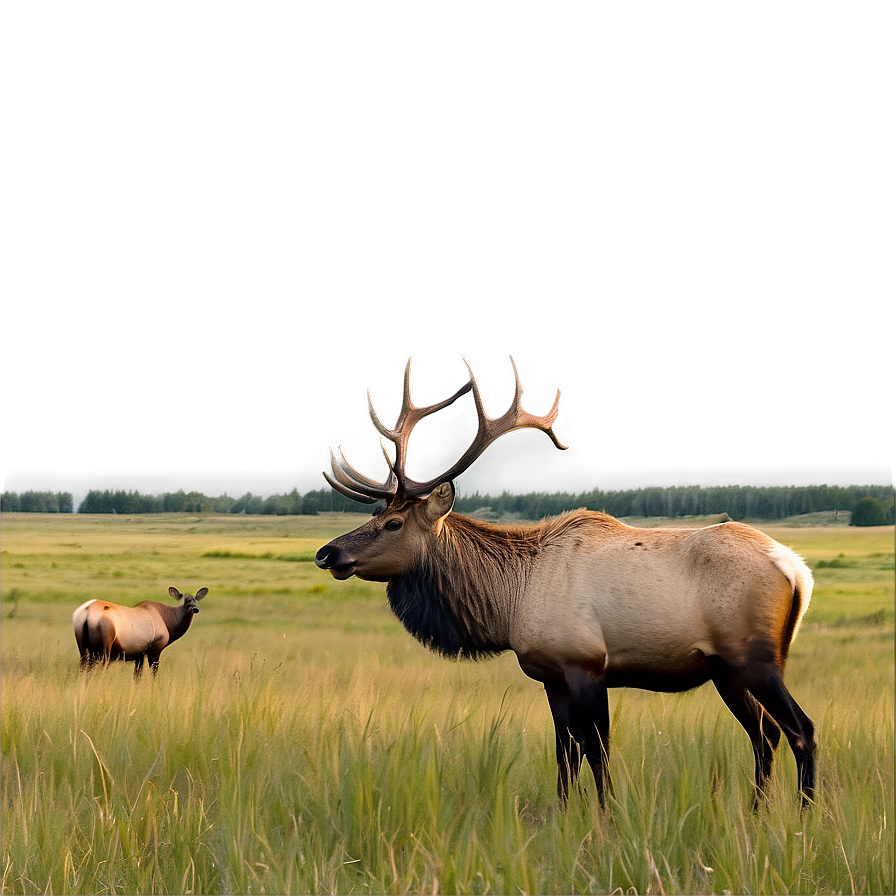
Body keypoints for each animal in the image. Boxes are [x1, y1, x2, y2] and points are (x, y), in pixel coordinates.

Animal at [72, 586, 207, 677]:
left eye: (196, 599)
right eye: (186, 600)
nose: (195, 609)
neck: (167, 621)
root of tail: (87, 612)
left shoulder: (140, 655)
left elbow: (137, 677)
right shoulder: (155, 649)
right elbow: (153, 675)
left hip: (84, 650)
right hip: (105, 650)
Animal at [315, 355, 817, 809]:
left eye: (393, 523)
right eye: (374, 515)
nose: (327, 552)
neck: (510, 601)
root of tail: (796, 568)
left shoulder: (586, 664)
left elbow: (597, 753)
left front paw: (608, 819)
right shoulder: (550, 677)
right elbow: (565, 755)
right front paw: (563, 816)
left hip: (754, 657)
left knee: (801, 730)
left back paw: (806, 815)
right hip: (725, 668)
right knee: (765, 734)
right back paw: (757, 813)